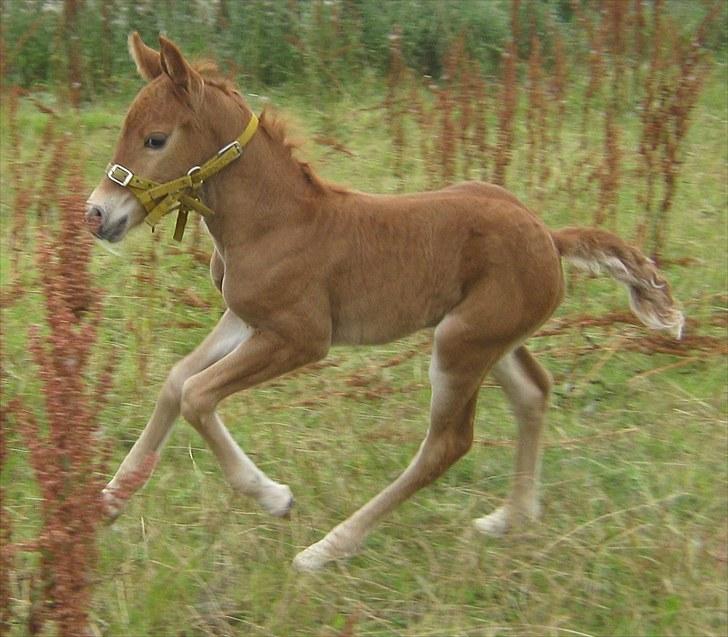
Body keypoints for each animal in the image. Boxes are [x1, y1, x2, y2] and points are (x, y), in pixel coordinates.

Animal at [86, 33, 684, 572]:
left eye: (156, 139)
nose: (97, 214)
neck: (275, 220)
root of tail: (550, 238)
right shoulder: (244, 317)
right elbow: (175, 380)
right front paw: (110, 500)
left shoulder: (302, 337)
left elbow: (197, 394)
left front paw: (274, 497)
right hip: (489, 338)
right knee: (533, 393)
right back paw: (510, 518)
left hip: (461, 343)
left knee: (449, 443)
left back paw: (329, 547)